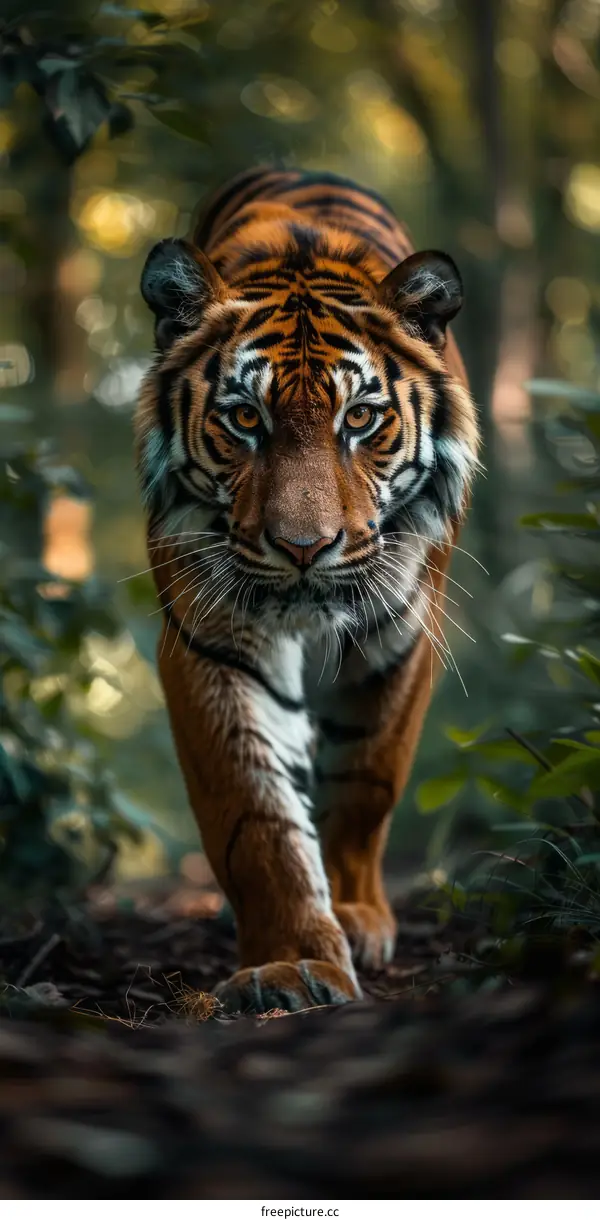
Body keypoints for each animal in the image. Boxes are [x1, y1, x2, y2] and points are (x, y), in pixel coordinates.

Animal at [135, 166, 480, 1014]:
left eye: (360, 418)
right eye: (243, 418)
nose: (302, 548)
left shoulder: (402, 636)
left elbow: (364, 783)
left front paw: (354, 918)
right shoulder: (211, 642)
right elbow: (255, 813)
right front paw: (293, 963)